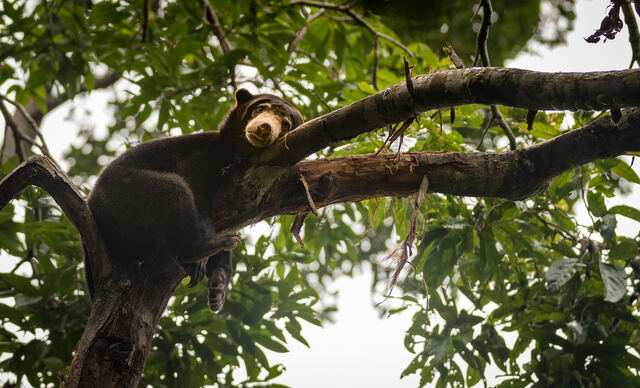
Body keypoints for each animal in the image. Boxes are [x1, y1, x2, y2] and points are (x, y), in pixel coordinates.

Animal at [87, 90, 304, 312]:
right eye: (260, 108)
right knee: (173, 189)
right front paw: (206, 256)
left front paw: (218, 286)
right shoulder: (200, 159)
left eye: (286, 124)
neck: (235, 154)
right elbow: (197, 196)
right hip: (124, 195)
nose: (264, 127)